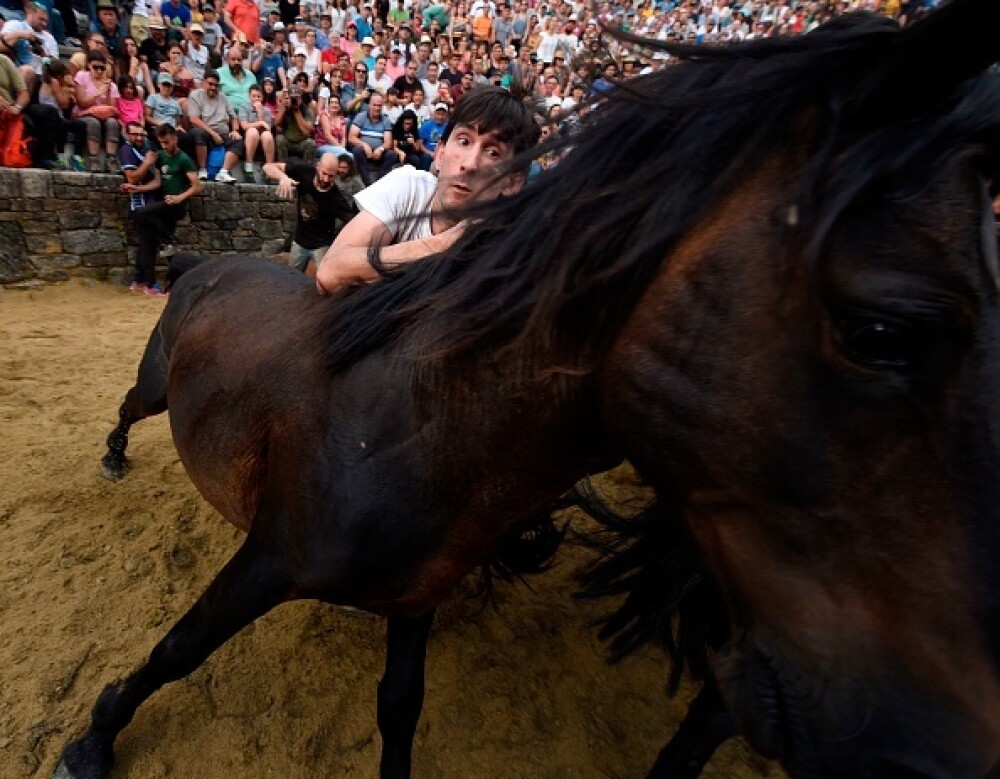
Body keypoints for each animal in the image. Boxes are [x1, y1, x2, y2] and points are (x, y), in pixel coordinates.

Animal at [58, 3, 1000, 776]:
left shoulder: (417, 592)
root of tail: (207, 261)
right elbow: (179, 647)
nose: (940, 749)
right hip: (157, 381)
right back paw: (109, 458)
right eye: (883, 332)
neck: (415, 424)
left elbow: (400, 712)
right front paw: (94, 738)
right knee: (128, 410)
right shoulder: (269, 557)